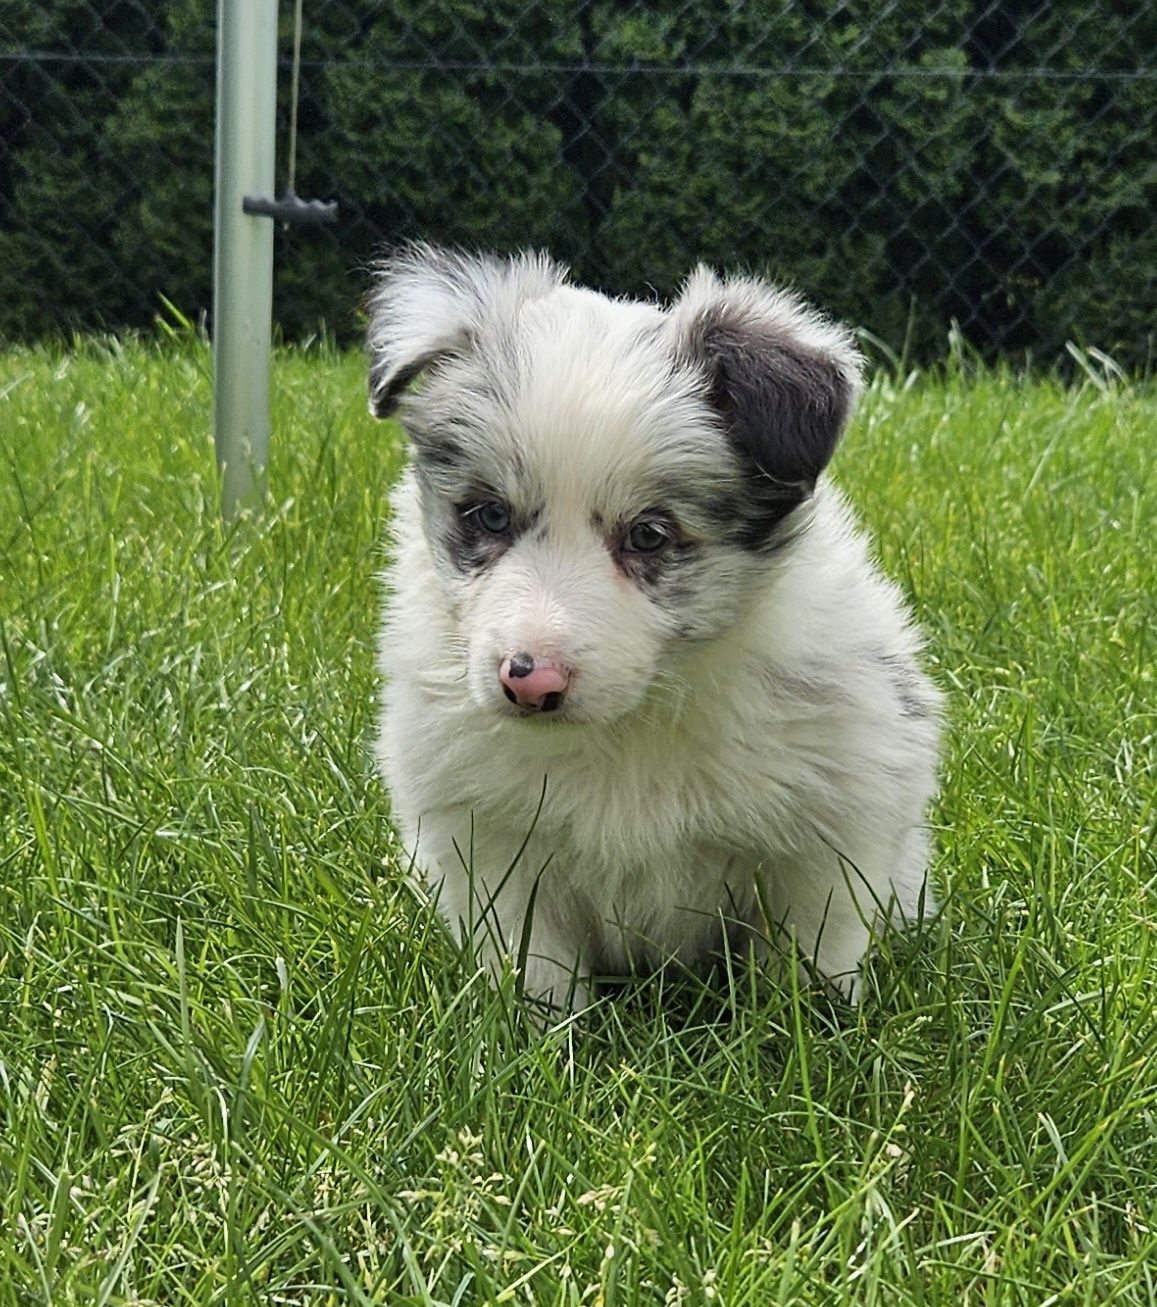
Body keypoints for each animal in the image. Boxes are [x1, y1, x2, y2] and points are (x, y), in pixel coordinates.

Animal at [371, 247, 941, 1019]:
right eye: (489, 515)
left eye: (649, 534)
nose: (530, 682)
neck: (633, 724)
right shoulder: (493, 846)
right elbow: (537, 970)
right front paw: (534, 1038)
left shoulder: (826, 835)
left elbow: (806, 963)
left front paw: (803, 1033)